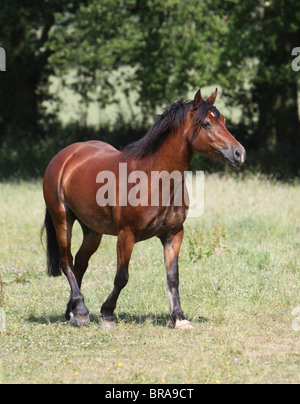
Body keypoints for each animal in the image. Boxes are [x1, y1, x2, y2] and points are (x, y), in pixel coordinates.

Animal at [42, 87, 246, 328]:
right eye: (206, 123)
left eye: (223, 121)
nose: (239, 153)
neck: (153, 179)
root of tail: (64, 157)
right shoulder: (126, 235)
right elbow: (122, 277)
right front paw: (107, 314)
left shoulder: (173, 234)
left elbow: (173, 277)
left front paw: (179, 318)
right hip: (62, 220)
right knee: (67, 261)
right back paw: (81, 311)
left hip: (92, 231)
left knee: (79, 263)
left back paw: (73, 312)